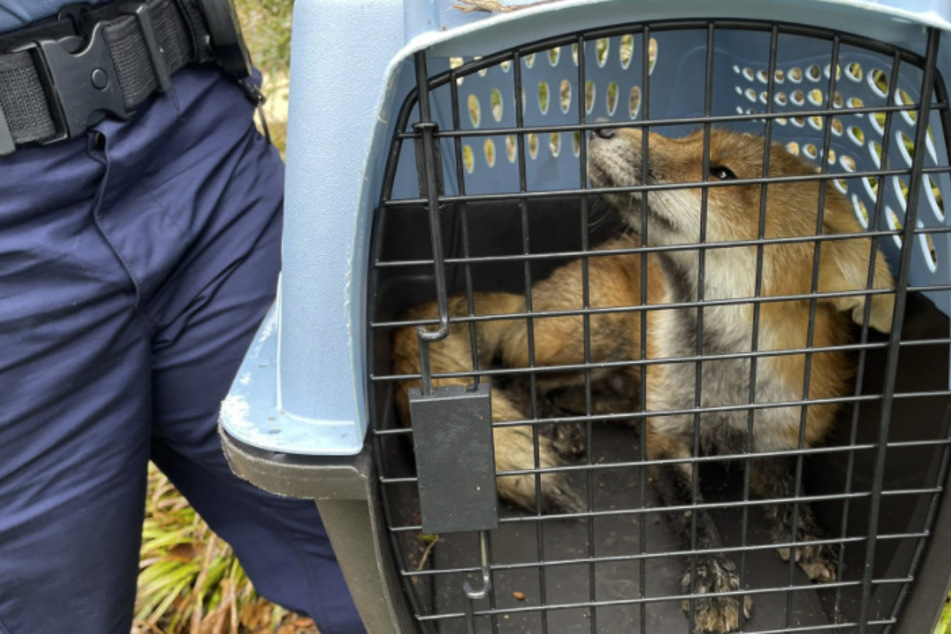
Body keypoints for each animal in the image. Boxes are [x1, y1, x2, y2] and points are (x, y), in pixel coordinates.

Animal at [390, 126, 896, 628]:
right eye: (689, 136)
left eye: (723, 174)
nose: (602, 127)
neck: (723, 381)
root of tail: (528, 297)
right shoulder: (668, 438)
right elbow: (694, 514)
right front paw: (714, 578)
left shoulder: (781, 430)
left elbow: (791, 489)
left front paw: (809, 535)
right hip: (598, 331)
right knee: (515, 376)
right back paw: (555, 428)